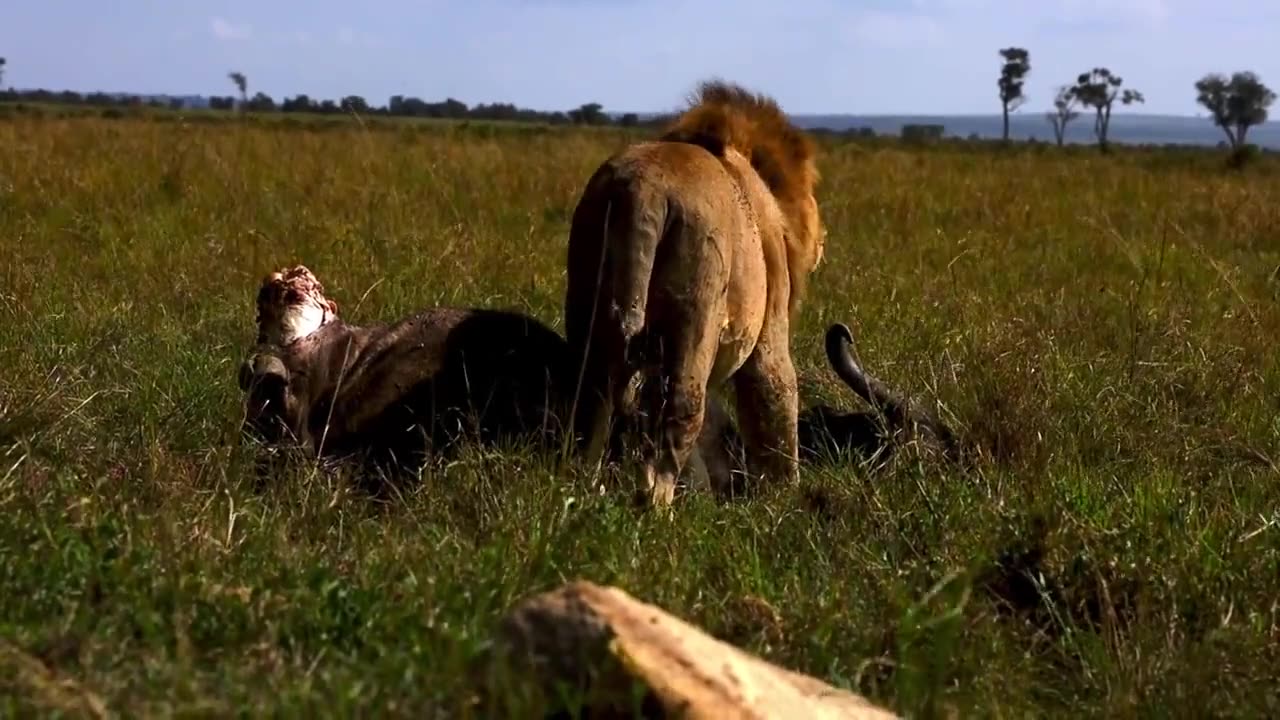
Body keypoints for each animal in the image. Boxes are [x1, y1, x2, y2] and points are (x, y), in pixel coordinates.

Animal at [565, 78, 824, 504]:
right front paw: (784, 499)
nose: (821, 241)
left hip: (587, 284)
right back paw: (659, 508)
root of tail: (643, 192)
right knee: (677, 418)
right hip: (695, 309)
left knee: (592, 404)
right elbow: (775, 398)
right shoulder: (770, 326)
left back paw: (579, 488)